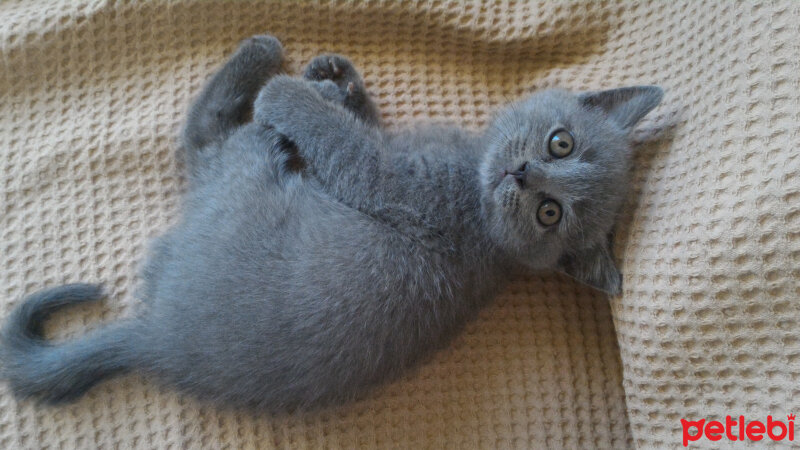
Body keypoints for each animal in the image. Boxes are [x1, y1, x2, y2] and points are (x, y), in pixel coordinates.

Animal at [0, 33, 664, 410]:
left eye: (551, 214)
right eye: (561, 142)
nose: (524, 176)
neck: (474, 179)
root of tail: (155, 342)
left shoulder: (390, 179)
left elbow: (334, 137)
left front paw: (298, 91)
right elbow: (358, 121)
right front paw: (342, 81)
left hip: (242, 181)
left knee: (207, 137)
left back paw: (264, 59)